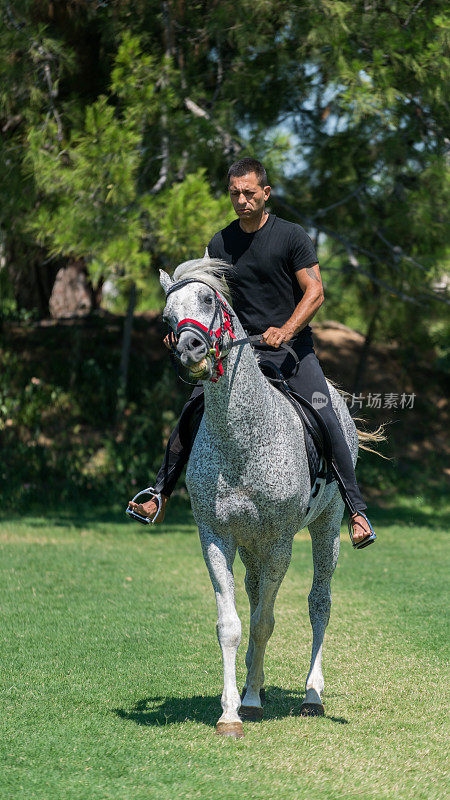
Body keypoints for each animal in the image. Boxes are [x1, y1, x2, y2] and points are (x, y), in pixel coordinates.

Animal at [162, 260, 358, 740]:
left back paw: (311, 695)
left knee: (319, 604)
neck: (242, 439)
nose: (190, 349)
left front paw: (247, 701)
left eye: (209, 299)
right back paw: (260, 682)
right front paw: (232, 711)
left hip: (327, 527)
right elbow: (232, 625)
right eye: (166, 317)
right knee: (253, 597)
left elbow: (265, 622)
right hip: (250, 546)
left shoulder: (279, 543)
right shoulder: (216, 537)